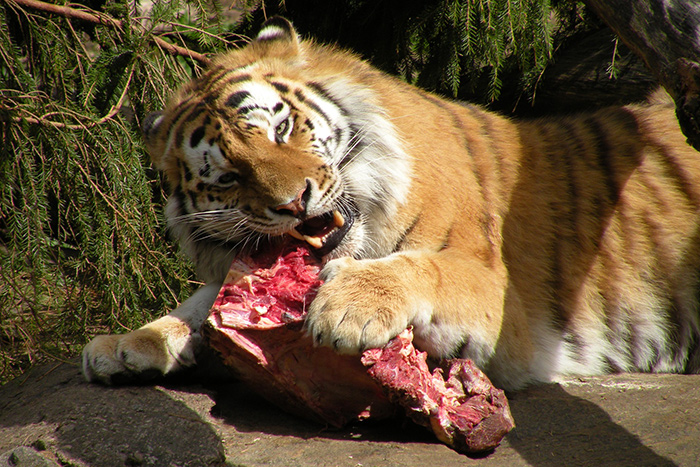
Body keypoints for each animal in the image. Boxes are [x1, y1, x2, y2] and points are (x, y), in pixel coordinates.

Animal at [80, 16, 700, 390]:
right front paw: (130, 342)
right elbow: (205, 298)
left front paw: (349, 307)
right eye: (229, 177)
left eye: (280, 129)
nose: (293, 202)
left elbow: (423, 267)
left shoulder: (501, 299)